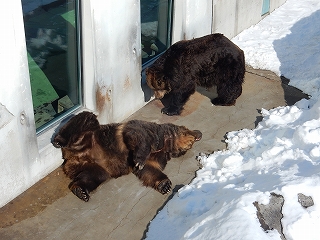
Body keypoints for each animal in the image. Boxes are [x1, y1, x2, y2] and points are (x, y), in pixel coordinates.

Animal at [53, 111, 202, 202]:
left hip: (90, 166)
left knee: (93, 176)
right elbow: (139, 136)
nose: (199, 133)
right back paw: (58, 140)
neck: (166, 144)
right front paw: (139, 161)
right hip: (88, 136)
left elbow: (150, 169)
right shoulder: (148, 132)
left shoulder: (158, 156)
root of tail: (72, 157)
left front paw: (165, 185)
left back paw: (81, 191)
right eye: (189, 132)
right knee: (85, 118)